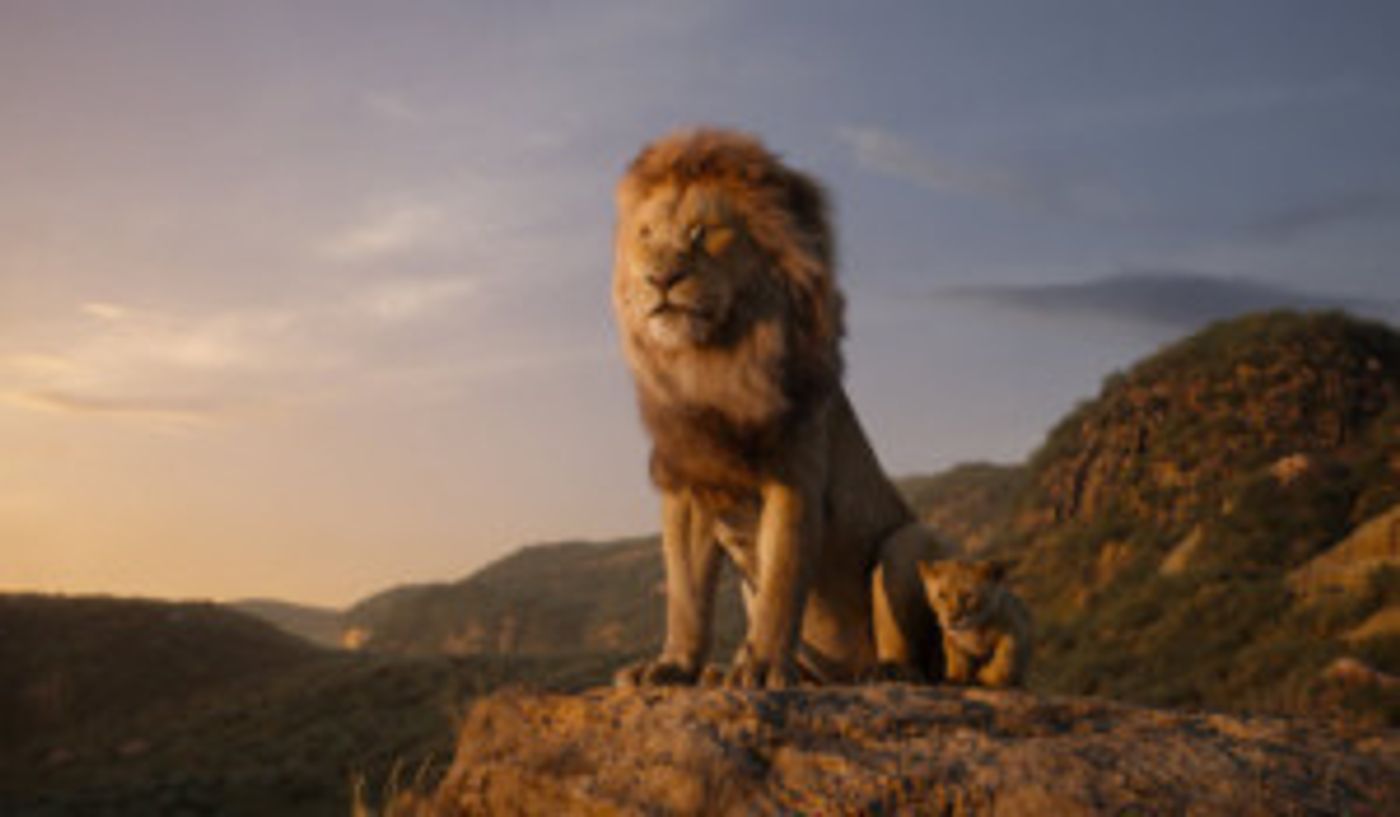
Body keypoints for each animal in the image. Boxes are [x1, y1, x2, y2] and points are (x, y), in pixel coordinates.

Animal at [610, 128, 947, 688]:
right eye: (647, 235)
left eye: (703, 232)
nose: (660, 278)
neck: (712, 363)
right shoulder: (689, 489)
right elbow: (685, 594)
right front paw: (675, 665)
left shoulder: (794, 480)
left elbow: (781, 584)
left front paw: (762, 668)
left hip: (909, 543)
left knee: (918, 654)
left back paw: (886, 673)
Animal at [918, 559, 1031, 688]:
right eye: (942, 595)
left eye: (968, 596)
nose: (953, 618)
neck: (974, 629)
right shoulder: (953, 639)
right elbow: (957, 660)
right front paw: (956, 678)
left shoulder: (1015, 629)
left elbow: (1004, 659)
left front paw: (987, 677)